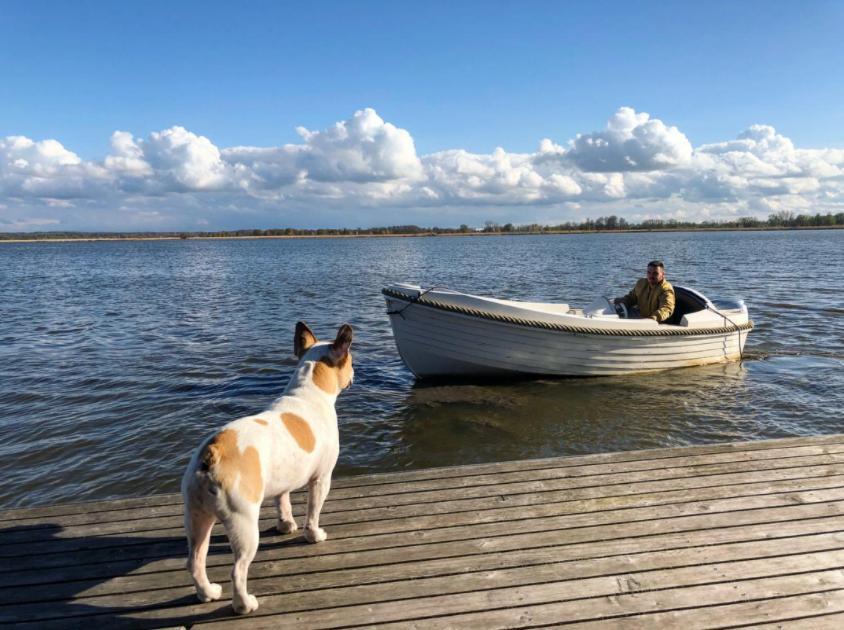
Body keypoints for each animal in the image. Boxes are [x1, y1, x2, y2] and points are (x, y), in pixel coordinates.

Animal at [183, 324, 354, 616]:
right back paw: (244, 605)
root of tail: (212, 452)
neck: (308, 390)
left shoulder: (281, 484)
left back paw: (207, 593)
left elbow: (283, 503)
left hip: (197, 517)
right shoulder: (322, 479)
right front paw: (314, 535)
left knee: (196, 560)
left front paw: (286, 525)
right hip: (243, 524)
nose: (355, 372)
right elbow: (313, 511)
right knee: (238, 571)